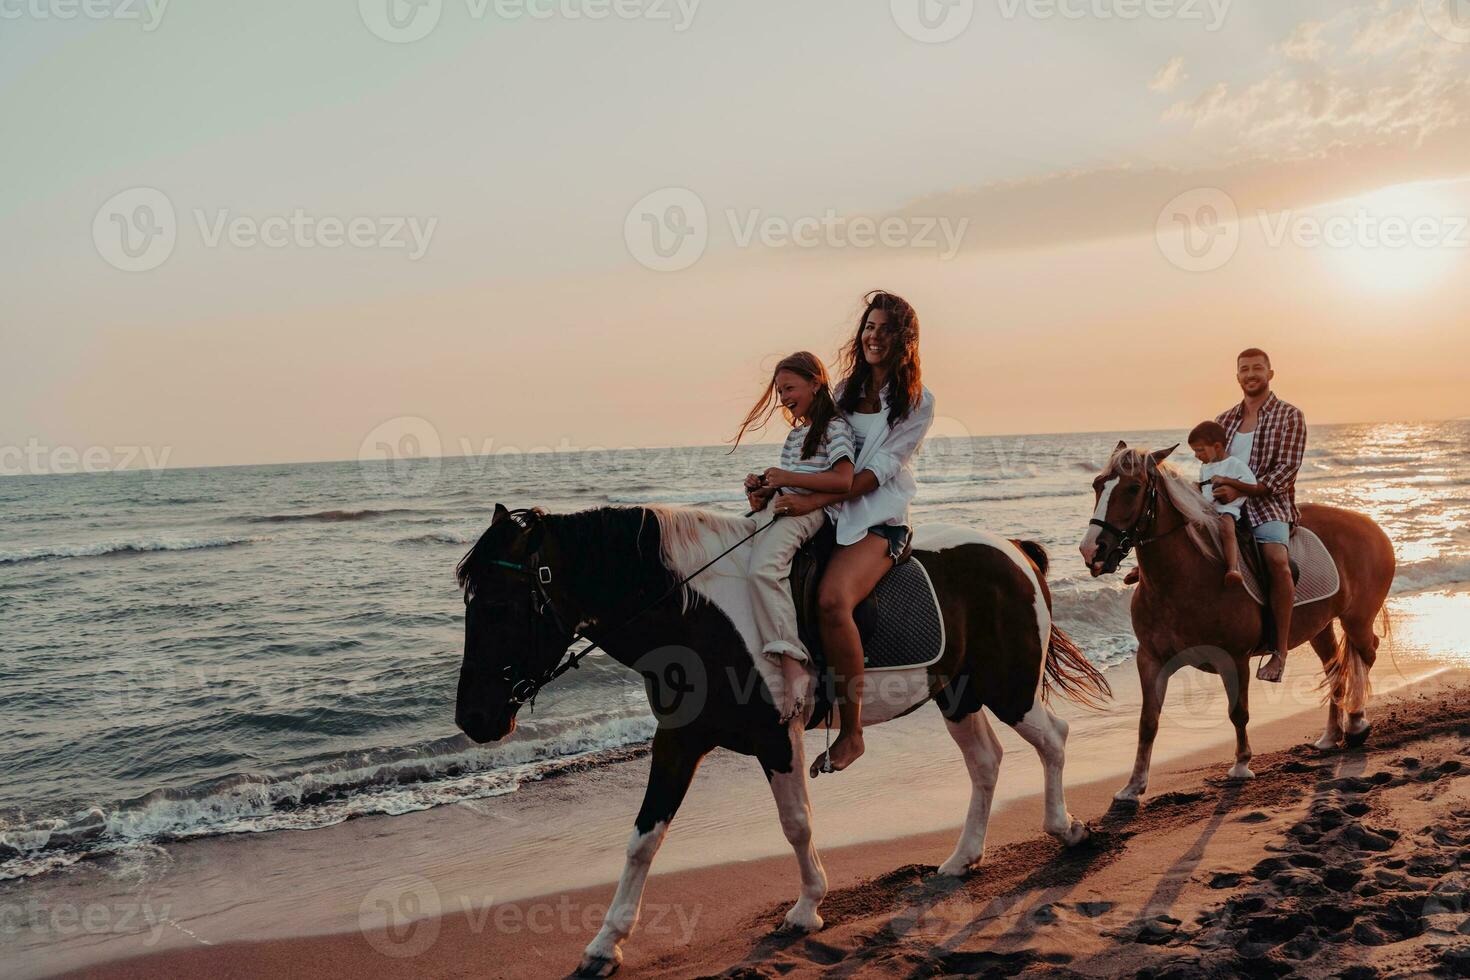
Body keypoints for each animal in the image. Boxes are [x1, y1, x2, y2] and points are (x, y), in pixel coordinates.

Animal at [452, 502, 1105, 975]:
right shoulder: (678, 739)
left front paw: (808, 907)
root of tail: (1016, 551)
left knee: (1053, 739)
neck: (697, 615)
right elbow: (643, 839)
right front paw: (605, 943)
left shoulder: (775, 737)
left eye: (501, 605)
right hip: (958, 693)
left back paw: (1065, 829)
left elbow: (796, 824)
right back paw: (962, 859)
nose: (472, 719)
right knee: (986, 762)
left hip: (1008, 686)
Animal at [1076, 443, 1393, 805]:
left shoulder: (1235, 657)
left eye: (1132, 488)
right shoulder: (1151, 659)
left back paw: (1355, 723)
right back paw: (1331, 735)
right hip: (1321, 626)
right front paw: (1133, 786)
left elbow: (1238, 712)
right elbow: (1148, 722)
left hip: (1357, 618)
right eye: (1098, 485)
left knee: (1366, 655)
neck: (1186, 577)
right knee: (1336, 668)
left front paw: (1241, 765)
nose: (1092, 550)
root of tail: (1369, 524)